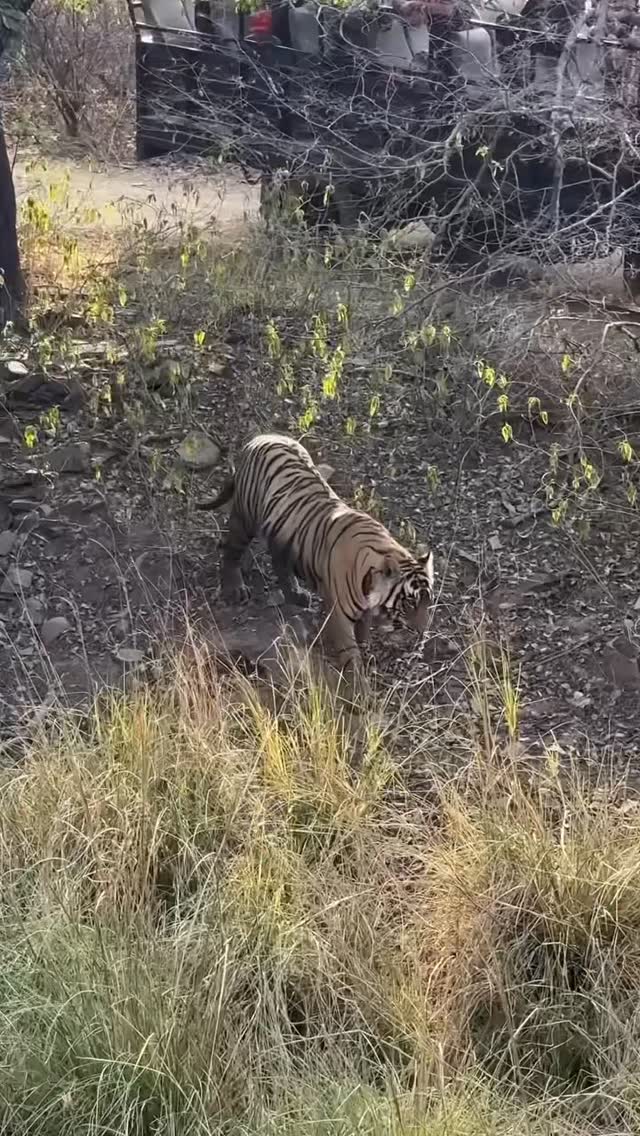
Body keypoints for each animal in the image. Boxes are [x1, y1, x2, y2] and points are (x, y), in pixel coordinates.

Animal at [196, 433, 434, 680]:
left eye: (429, 601)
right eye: (409, 603)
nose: (422, 631)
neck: (370, 582)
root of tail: (262, 436)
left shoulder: (365, 610)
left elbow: (363, 633)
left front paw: (366, 651)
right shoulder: (339, 617)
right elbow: (351, 654)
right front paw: (359, 682)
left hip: (284, 532)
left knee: (278, 559)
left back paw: (296, 594)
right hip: (246, 517)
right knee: (231, 549)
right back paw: (236, 589)